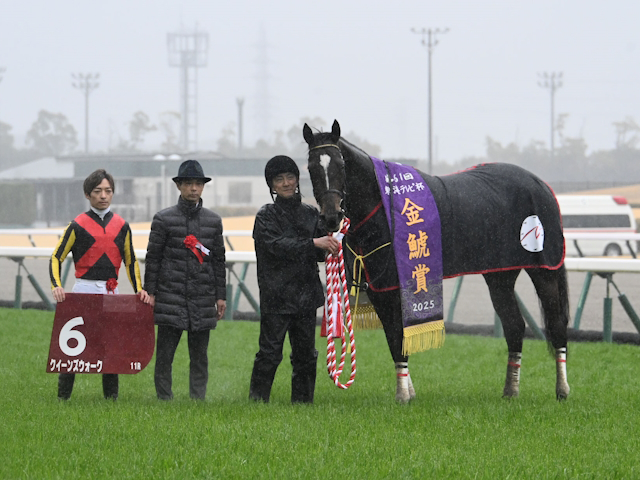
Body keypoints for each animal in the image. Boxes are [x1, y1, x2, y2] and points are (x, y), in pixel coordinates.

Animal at [304, 119, 568, 402]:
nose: (331, 218)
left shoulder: (395, 285)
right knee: (514, 326)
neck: (384, 207)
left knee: (556, 323)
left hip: (544, 268)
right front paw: (408, 391)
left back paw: (562, 389)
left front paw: (402, 395)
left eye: (340, 165)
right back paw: (511, 390)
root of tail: (541, 184)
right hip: (500, 275)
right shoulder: (378, 288)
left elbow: (399, 337)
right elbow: (393, 338)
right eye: (310, 167)